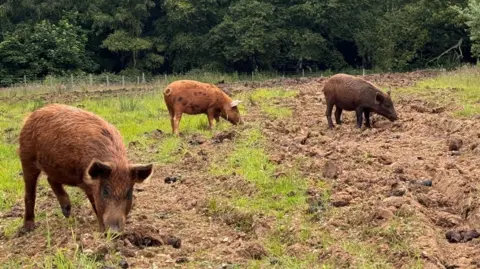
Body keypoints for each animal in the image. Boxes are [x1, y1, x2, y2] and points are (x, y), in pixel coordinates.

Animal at [18, 102, 153, 232]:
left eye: (128, 193)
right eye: (105, 191)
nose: (114, 231)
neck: (115, 162)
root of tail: (33, 114)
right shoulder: (87, 183)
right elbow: (95, 204)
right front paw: (102, 231)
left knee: (50, 179)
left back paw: (67, 212)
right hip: (26, 157)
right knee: (30, 192)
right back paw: (28, 228)